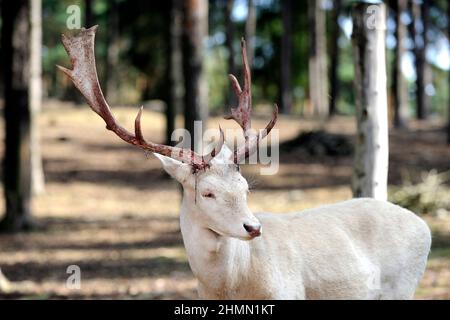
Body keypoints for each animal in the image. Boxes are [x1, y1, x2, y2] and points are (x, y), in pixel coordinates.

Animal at [58, 26, 430, 298]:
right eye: (207, 193)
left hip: (402, 285)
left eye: (245, 187)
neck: (229, 289)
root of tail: (423, 225)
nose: (253, 228)